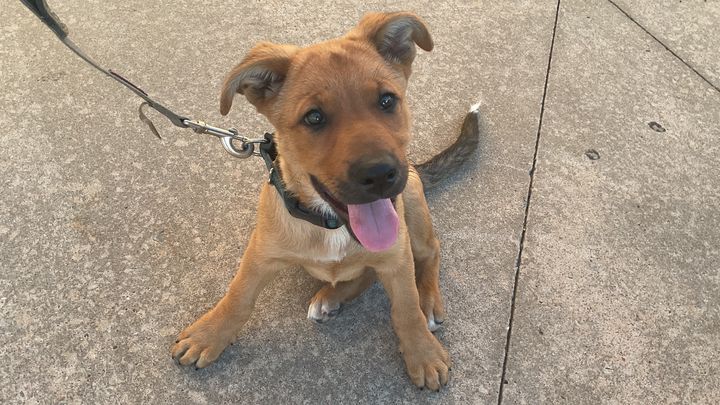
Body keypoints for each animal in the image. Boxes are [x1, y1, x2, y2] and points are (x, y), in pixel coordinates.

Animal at [171, 11, 479, 390]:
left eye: (387, 101)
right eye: (314, 117)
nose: (380, 174)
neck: (330, 222)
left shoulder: (396, 255)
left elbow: (406, 308)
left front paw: (422, 352)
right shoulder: (260, 253)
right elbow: (238, 296)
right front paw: (208, 335)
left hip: (413, 210)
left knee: (429, 252)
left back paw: (428, 301)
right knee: (363, 276)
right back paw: (330, 297)